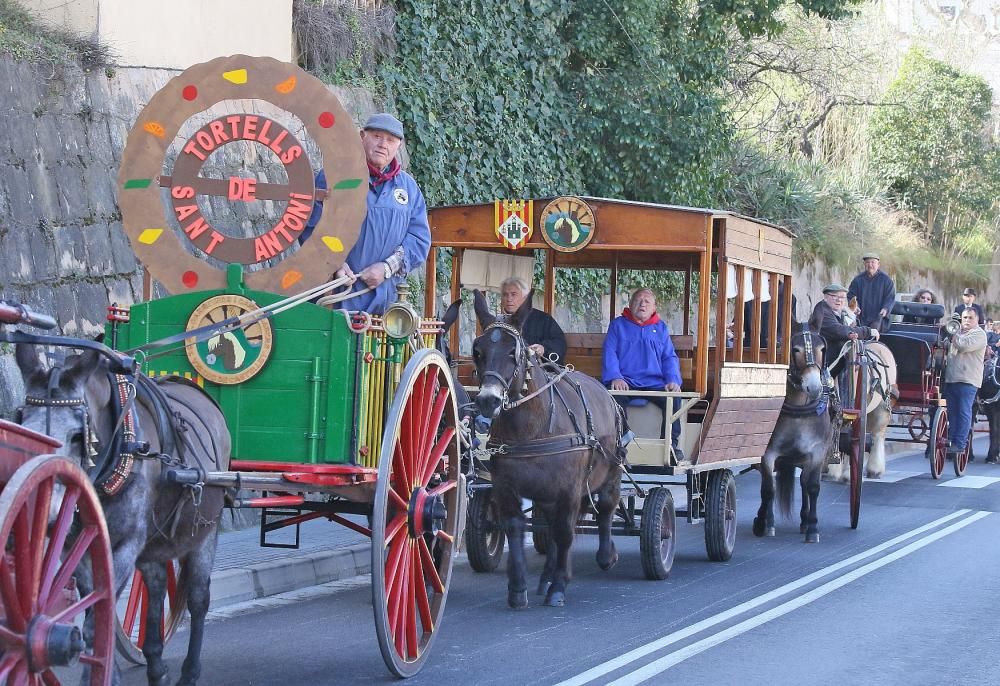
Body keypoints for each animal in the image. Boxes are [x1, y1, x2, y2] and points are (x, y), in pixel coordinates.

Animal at [472, 290, 620, 608]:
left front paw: (559, 586)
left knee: (605, 507)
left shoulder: (569, 489)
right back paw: (547, 575)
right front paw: (518, 587)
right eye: (478, 351)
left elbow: (565, 533)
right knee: (550, 527)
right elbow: (515, 528)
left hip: (610, 472)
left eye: (513, 352)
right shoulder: (506, 488)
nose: (488, 400)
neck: (531, 428)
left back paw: (604, 555)